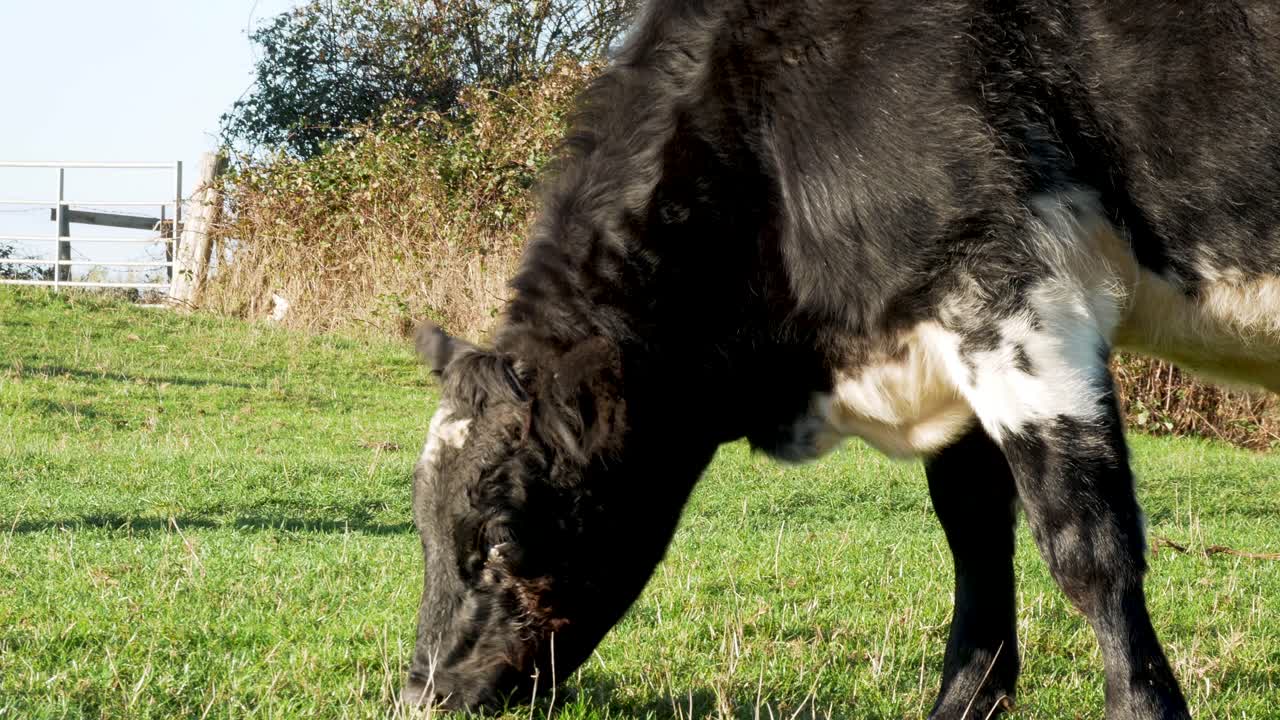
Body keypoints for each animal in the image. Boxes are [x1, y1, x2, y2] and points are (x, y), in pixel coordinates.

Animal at [399, 2, 1280, 718]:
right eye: (423, 526)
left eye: (503, 536)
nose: (424, 692)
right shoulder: (940, 337)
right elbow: (975, 540)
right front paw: (959, 705)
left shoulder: (1015, 292)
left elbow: (1087, 546)